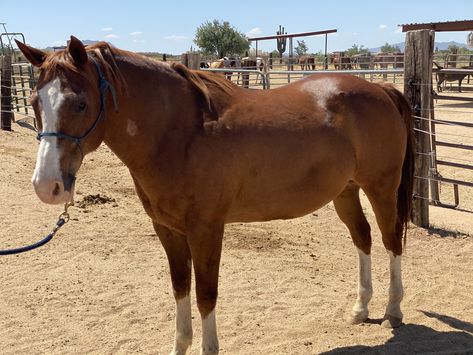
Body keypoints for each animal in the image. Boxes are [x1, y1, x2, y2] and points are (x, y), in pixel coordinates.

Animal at [16, 36, 412, 355]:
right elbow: (180, 287)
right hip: (345, 190)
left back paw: (392, 311)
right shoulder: (168, 230)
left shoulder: (206, 230)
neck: (180, 134)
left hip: (381, 188)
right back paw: (360, 309)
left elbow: (206, 294)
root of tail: (382, 91)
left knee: (391, 240)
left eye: (80, 103)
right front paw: (179, 346)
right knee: (362, 238)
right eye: (35, 102)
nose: (46, 186)